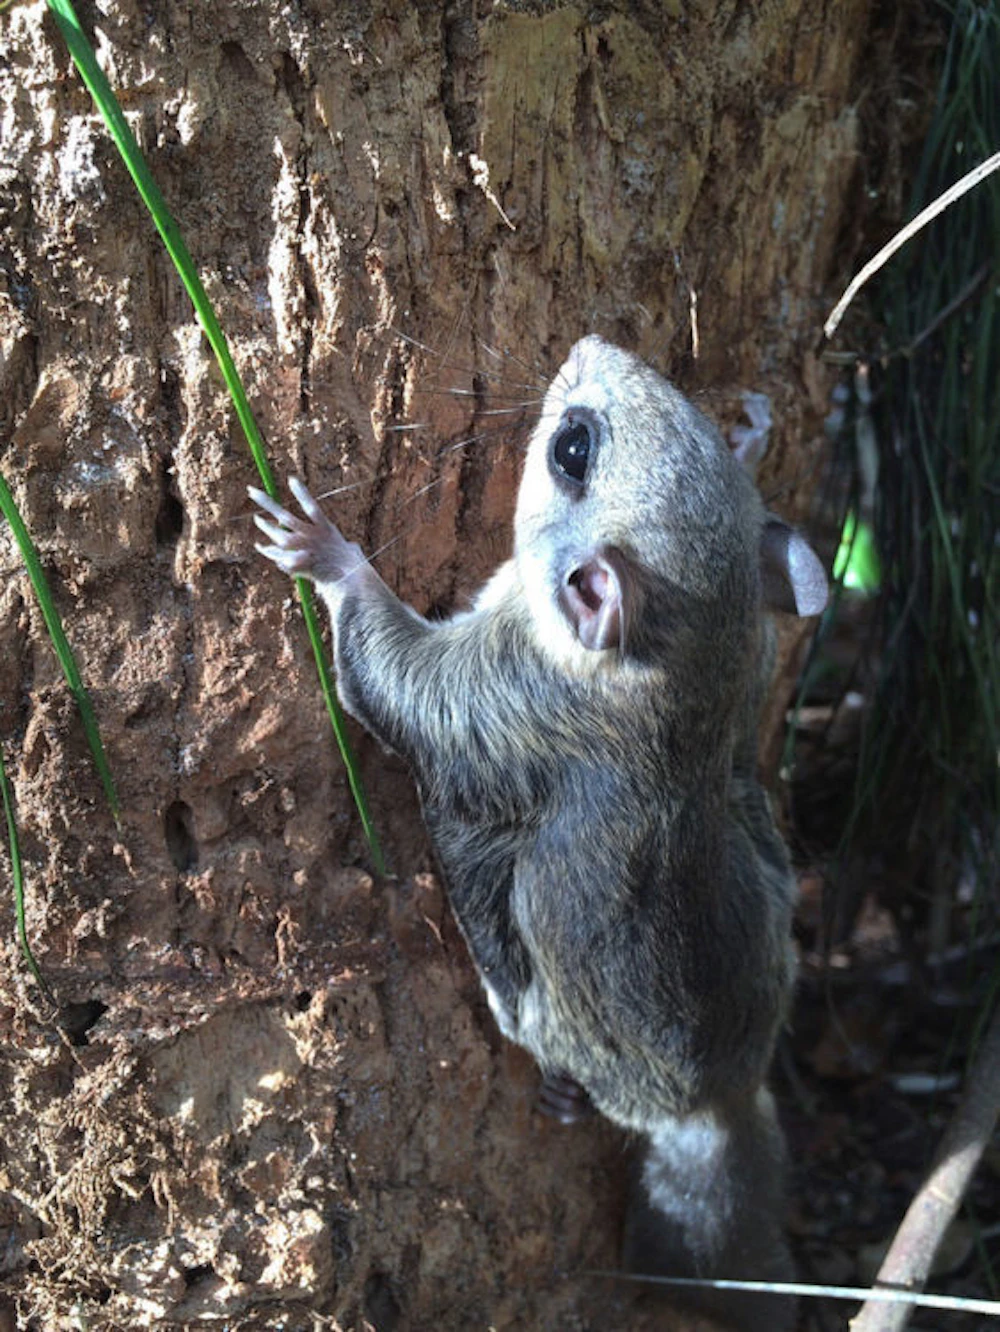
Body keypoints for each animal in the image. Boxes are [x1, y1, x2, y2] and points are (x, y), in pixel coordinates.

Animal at [251, 335, 827, 1330]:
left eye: (572, 451)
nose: (592, 345)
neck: (677, 670)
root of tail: (716, 1103)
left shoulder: (500, 698)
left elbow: (391, 677)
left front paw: (329, 555)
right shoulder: (747, 660)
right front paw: (751, 436)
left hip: (541, 1010)